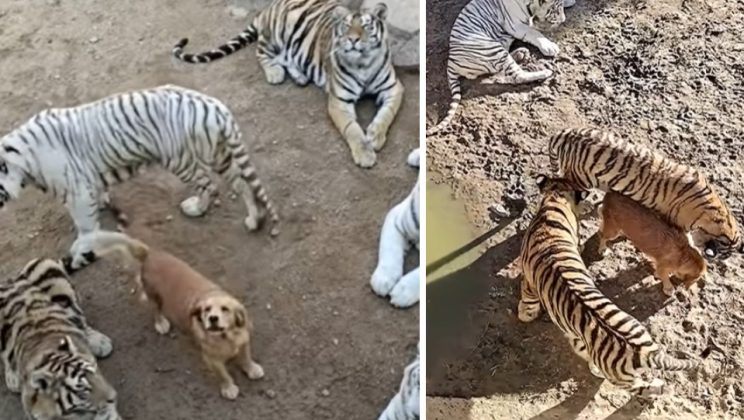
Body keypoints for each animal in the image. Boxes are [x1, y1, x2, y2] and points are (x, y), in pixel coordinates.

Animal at [0, 85, 278, 270]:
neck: (24, 162)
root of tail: (214, 106)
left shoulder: (76, 194)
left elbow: (85, 228)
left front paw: (82, 254)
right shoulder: (88, 180)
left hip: (181, 160)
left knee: (209, 186)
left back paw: (196, 208)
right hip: (219, 153)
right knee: (241, 183)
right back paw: (254, 220)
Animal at [172, 0, 403, 169]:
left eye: (365, 26)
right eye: (346, 26)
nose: (353, 40)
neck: (363, 62)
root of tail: (269, 7)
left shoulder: (394, 88)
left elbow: (387, 114)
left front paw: (375, 136)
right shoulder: (339, 101)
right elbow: (352, 129)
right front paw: (365, 154)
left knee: (287, 58)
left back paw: (300, 76)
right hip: (275, 36)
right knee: (262, 52)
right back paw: (275, 73)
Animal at [426, 0, 573, 135]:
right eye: (554, 8)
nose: (563, 20)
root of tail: (450, 62)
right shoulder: (516, 25)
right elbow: (534, 32)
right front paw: (550, 46)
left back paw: (521, 53)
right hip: (492, 48)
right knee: (517, 76)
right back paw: (545, 72)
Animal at [518, 175, 699, 395]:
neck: (553, 204)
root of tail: (645, 352)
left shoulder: (529, 279)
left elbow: (527, 299)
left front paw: (525, 315)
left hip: (620, 378)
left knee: (641, 387)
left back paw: (655, 387)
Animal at [548, 127, 742, 259]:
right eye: (725, 252)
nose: (716, 258)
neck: (716, 212)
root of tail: (566, 133)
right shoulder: (675, 222)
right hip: (581, 178)